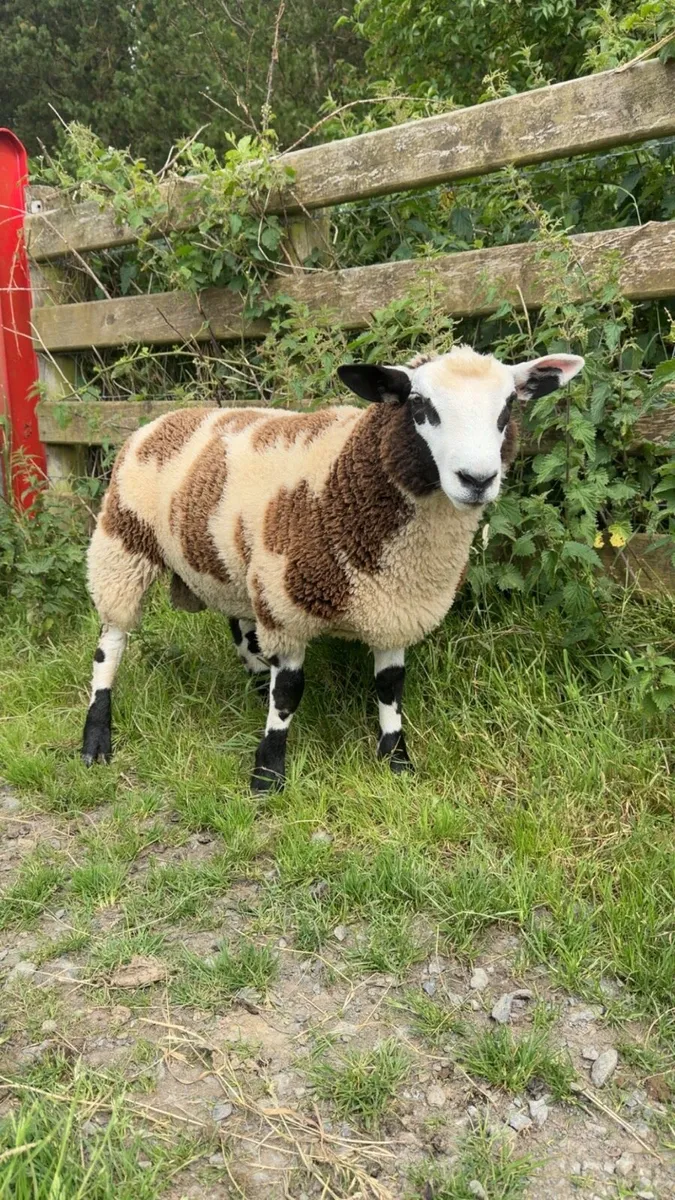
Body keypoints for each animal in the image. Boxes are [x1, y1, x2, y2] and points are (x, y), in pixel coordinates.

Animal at [81, 345, 584, 790]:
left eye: (507, 408)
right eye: (420, 405)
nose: (477, 480)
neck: (345, 478)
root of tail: (163, 418)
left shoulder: (394, 606)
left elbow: (390, 687)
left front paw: (396, 760)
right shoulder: (286, 605)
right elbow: (289, 693)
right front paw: (268, 775)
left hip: (229, 563)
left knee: (237, 621)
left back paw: (254, 677)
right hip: (123, 543)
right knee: (111, 644)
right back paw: (96, 739)